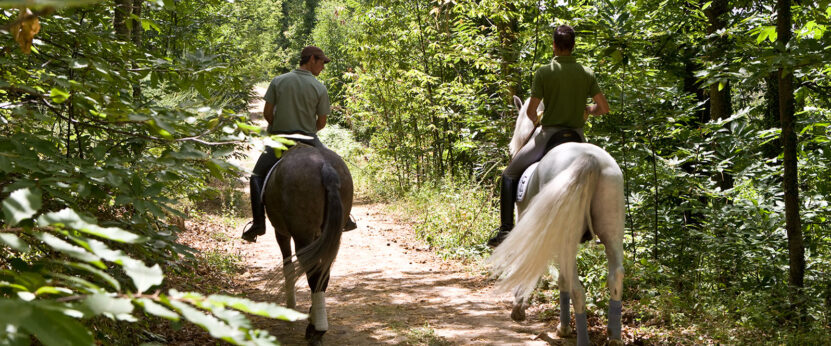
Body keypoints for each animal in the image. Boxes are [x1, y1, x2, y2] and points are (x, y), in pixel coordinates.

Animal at [264, 143, 354, 344]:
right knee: (323, 275)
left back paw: (316, 330)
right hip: (332, 236)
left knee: (313, 275)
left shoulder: (281, 232)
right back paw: (316, 324)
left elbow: (287, 265)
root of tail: (325, 166)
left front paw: (290, 305)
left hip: (302, 236)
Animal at [488, 96, 624, 344]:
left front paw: (519, 308)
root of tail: (589, 159)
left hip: (567, 236)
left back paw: (583, 339)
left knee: (577, 287)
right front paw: (563, 326)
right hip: (612, 231)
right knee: (615, 276)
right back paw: (614, 336)